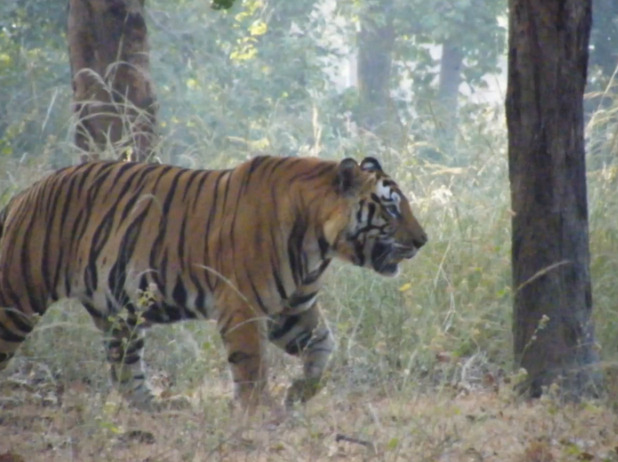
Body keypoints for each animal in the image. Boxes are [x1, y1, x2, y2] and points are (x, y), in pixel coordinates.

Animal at [0, 156, 424, 412]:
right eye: (391, 208)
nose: (423, 240)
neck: (320, 243)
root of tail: (24, 193)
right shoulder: (243, 306)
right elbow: (251, 366)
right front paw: (257, 413)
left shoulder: (293, 311)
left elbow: (322, 346)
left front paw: (298, 394)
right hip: (17, 298)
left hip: (119, 313)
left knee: (124, 370)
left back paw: (157, 408)